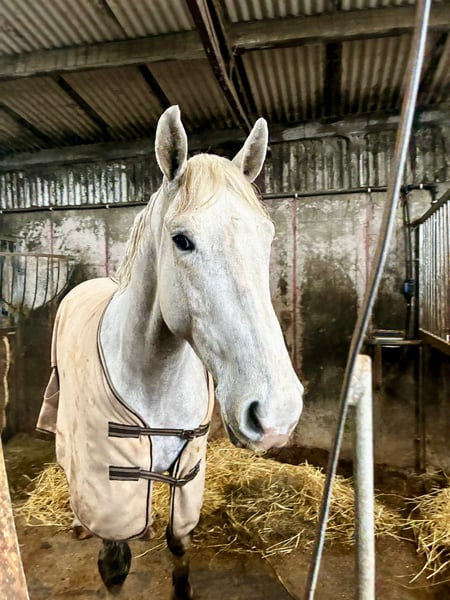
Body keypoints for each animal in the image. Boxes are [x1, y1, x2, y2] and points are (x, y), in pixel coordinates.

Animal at [36, 105, 304, 599]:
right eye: (182, 240)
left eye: (268, 236)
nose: (277, 414)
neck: (154, 378)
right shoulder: (111, 490)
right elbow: (114, 567)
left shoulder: (187, 478)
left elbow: (178, 542)